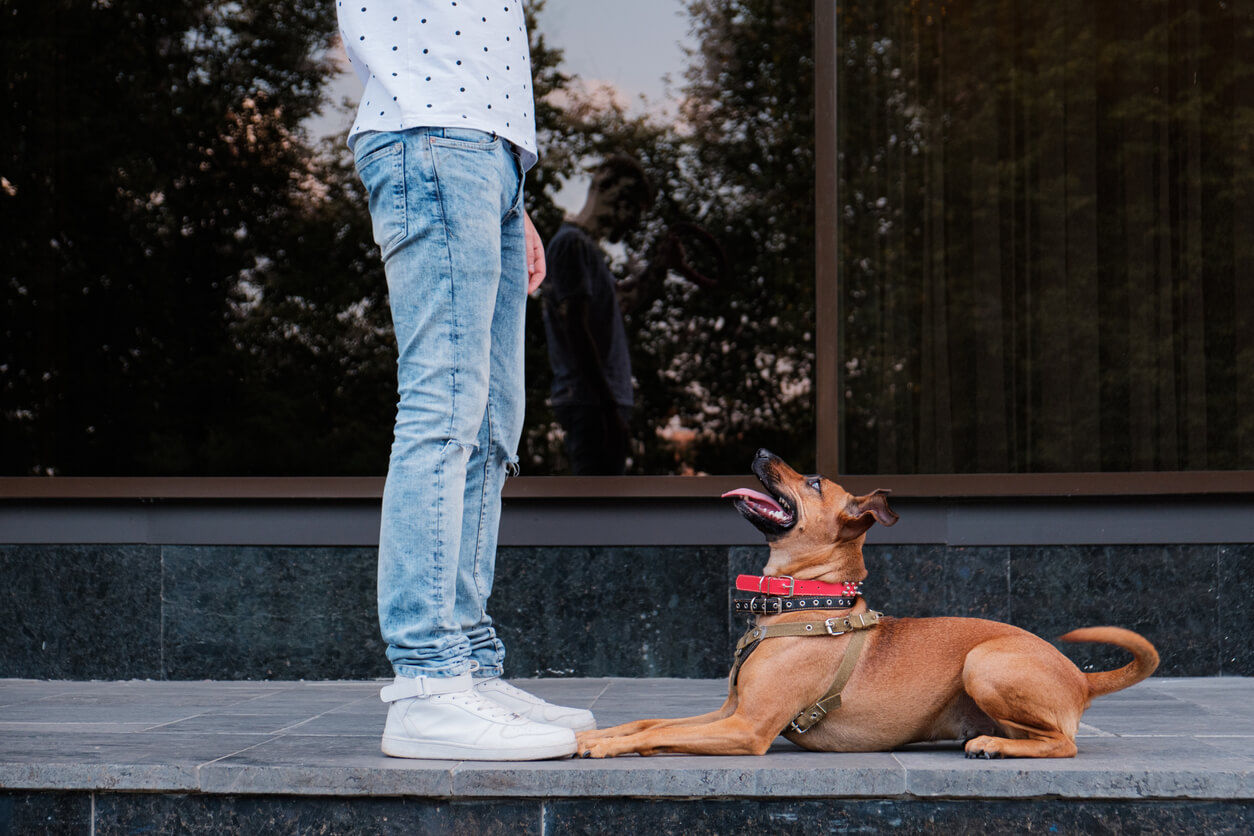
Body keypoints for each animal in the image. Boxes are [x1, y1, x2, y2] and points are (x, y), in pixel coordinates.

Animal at [574, 451, 1153, 757]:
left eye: (812, 481)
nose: (761, 450)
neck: (806, 603)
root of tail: (1081, 678)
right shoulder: (728, 713)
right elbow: (648, 722)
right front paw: (593, 733)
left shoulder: (747, 729)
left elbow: (662, 732)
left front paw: (604, 747)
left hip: (984, 662)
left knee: (1064, 743)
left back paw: (996, 746)